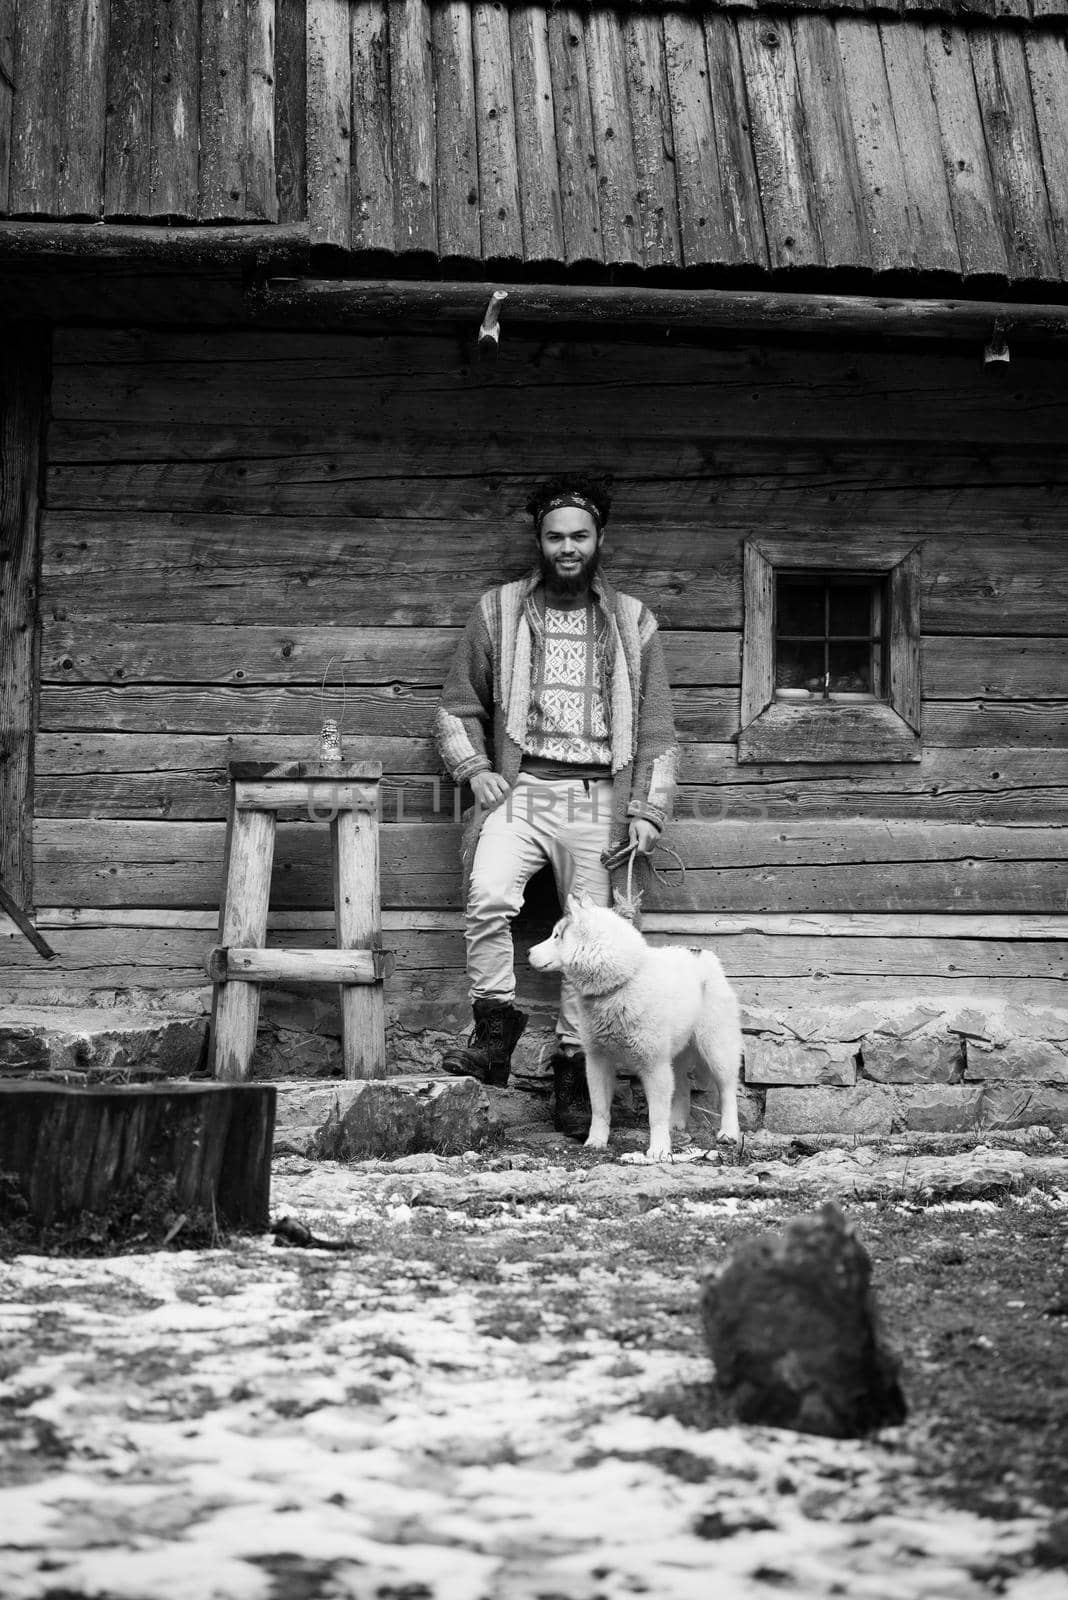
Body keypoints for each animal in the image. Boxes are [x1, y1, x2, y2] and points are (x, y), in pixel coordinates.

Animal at [527, 889, 741, 1164]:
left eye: (556, 936)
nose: (527, 952)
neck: (618, 986)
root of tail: (702, 953)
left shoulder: (654, 1065)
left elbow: (656, 1116)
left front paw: (659, 1149)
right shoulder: (597, 1063)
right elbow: (600, 1110)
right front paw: (596, 1141)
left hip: (716, 1051)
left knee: (727, 1092)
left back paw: (729, 1132)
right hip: (677, 1055)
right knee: (682, 1087)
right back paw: (676, 1125)